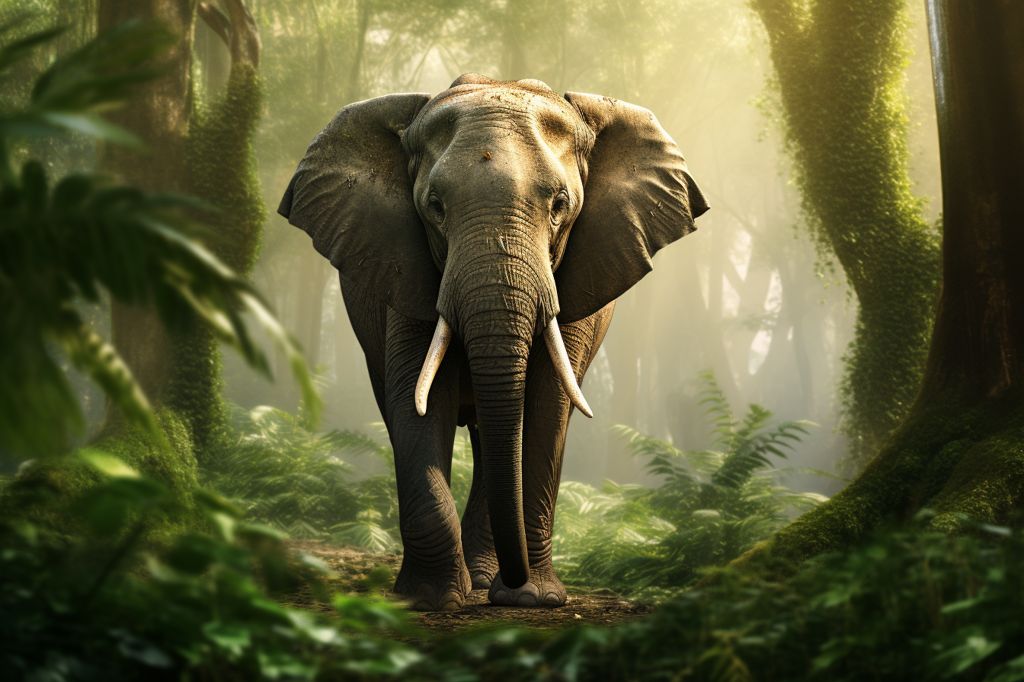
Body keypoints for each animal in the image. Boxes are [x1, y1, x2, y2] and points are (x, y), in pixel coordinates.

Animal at [279, 73, 708, 611]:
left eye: (560, 205)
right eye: (435, 207)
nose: (519, 581)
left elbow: (546, 407)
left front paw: (534, 600)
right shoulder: (404, 269)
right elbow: (418, 404)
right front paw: (429, 600)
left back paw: (486, 581)